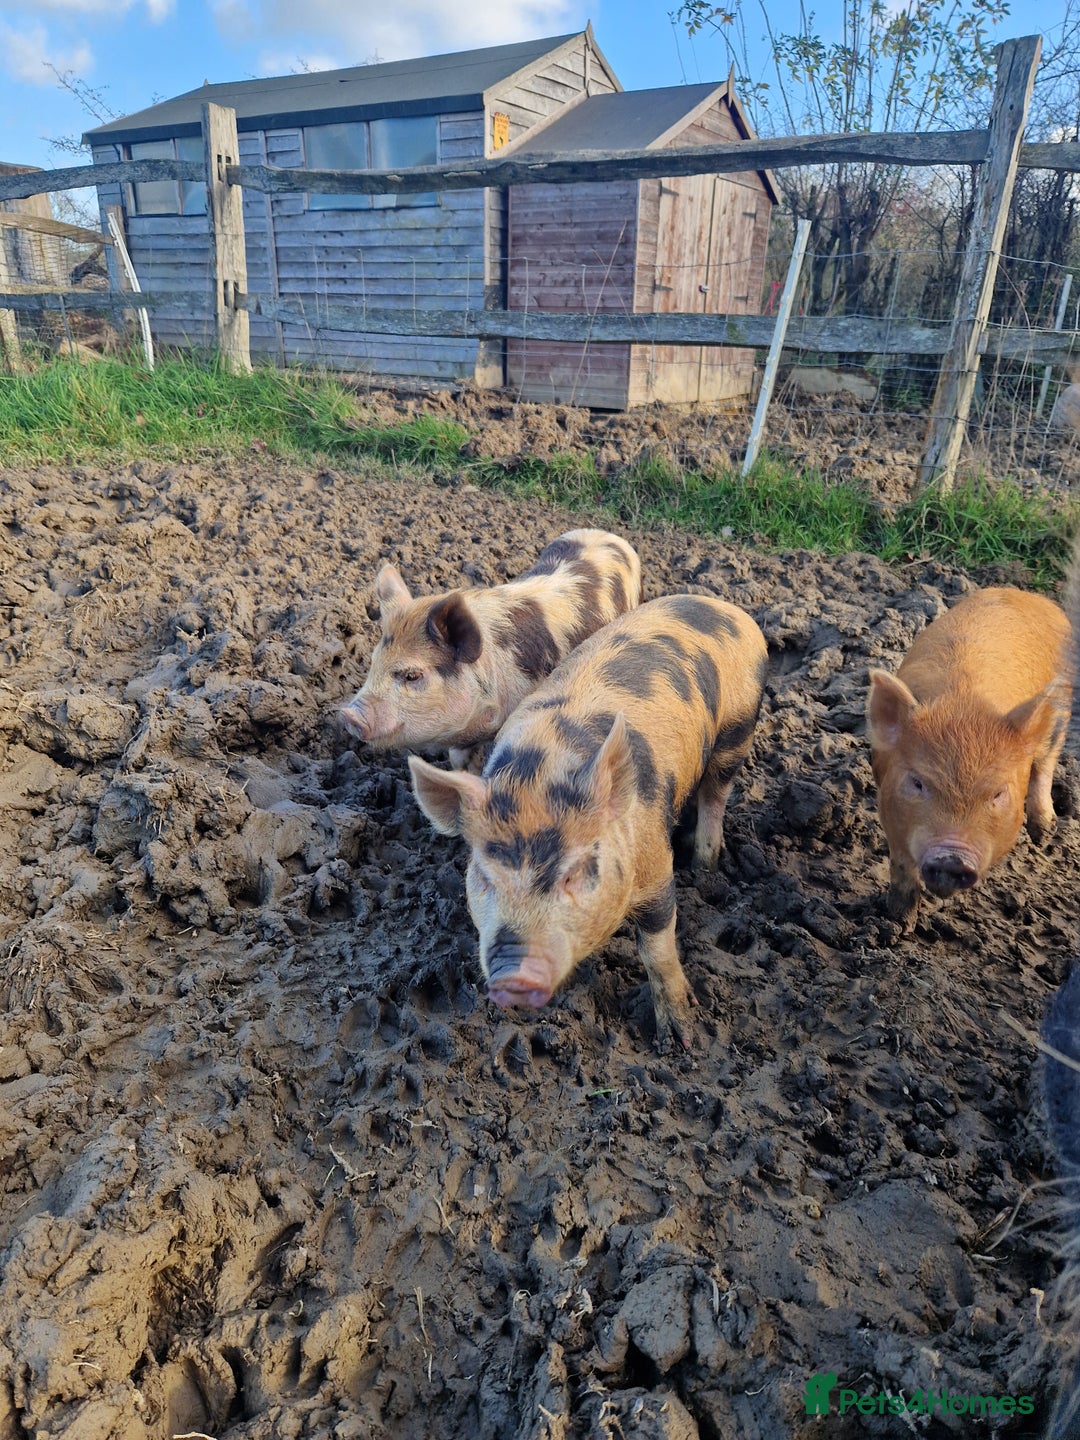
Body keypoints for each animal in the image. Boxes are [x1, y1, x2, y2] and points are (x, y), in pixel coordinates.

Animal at [408, 594, 769, 1050]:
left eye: (574, 873)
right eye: (484, 878)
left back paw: (706, 865)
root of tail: (727, 608)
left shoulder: (654, 863)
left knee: (715, 792)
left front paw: (681, 1040)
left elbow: (657, 946)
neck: (539, 773)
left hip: (738, 726)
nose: (514, 973)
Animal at [866, 585, 1071, 931]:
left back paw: (1043, 833)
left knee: (1047, 759)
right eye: (918, 782)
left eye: (998, 793)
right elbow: (902, 863)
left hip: (1063, 710)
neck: (963, 706)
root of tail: (1030, 595)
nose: (951, 859)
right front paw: (897, 923)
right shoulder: (889, 804)